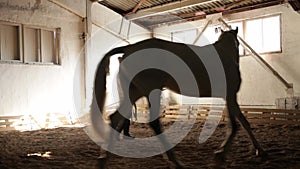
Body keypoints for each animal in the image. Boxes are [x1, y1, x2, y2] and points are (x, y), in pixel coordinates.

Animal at [94, 28, 264, 168]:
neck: (225, 56)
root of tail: (129, 48)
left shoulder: (229, 98)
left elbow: (244, 122)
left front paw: (259, 150)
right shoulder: (230, 96)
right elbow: (235, 126)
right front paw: (220, 155)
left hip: (134, 93)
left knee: (115, 117)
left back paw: (104, 158)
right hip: (151, 91)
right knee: (154, 123)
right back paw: (175, 161)